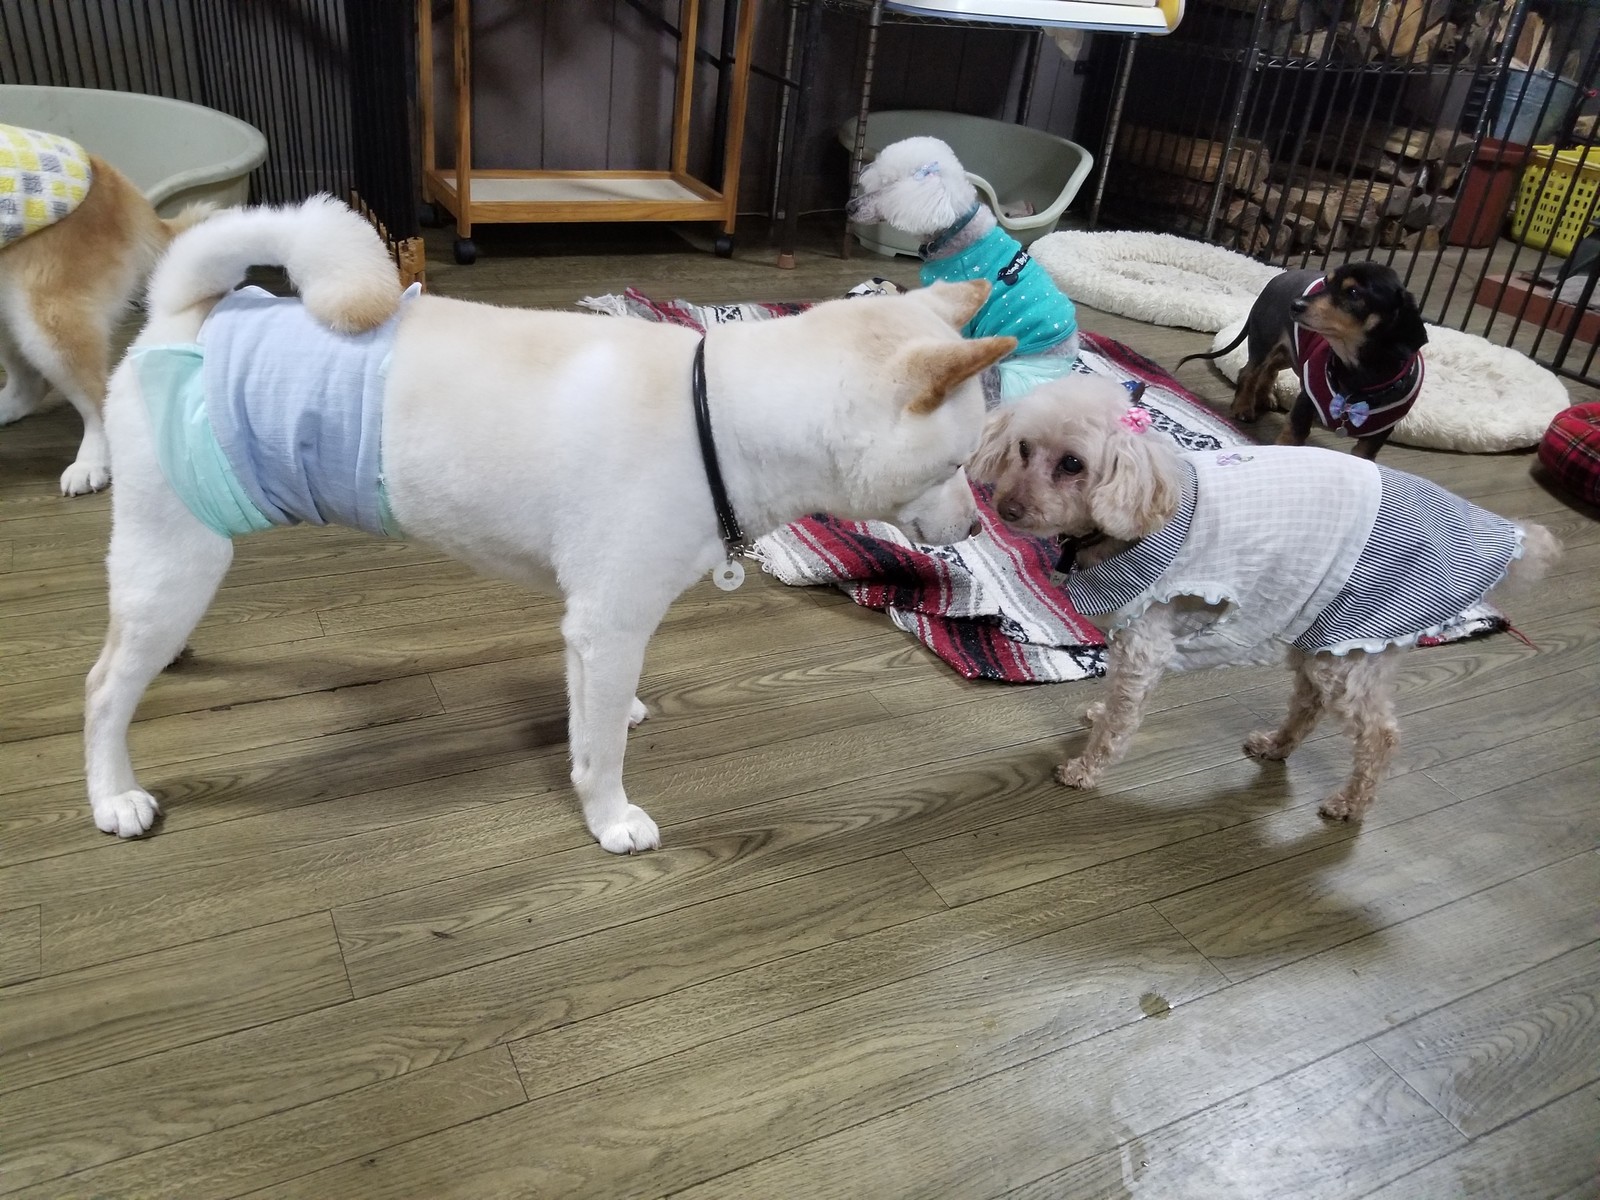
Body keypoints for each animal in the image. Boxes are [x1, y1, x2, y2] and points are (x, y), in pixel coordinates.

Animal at [82, 196, 1012, 851]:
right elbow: (599, 753)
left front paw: (618, 718)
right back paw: (113, 794)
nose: (977, 526)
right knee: (102, 692)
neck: (720, 415)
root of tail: (183, 314)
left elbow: (590, 712)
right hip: (180, 558)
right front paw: (610, 818)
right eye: (955, 464)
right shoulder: (611, 620)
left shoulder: (590, 628)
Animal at [970, 375, 1558, 822]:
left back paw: (1349, 804)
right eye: (1023, 449)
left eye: (1072, 464)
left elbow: (1122, 713)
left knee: (1381, 736)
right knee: (1309, 702)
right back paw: (1277, 747)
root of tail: (1497, 532)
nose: (1007, 508)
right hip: (1320, 636)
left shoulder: (1146, 639)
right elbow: (1117, 696)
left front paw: (1085, 768)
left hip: (1356, 640)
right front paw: (1095, 712)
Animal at [1176, 262, 1428, 460]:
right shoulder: (1306, 400)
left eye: (1354, 292)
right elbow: (1293, 436)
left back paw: (1265, 396)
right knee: (1248, 372)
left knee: (1269, 370)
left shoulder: (1378, 434)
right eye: (1326, 282)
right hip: (1265, 341)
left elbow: (1363, 456)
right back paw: (1243, 407)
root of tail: (1278, 277)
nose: (1295, 304)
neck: (1358, 375)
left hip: (1290, 353)